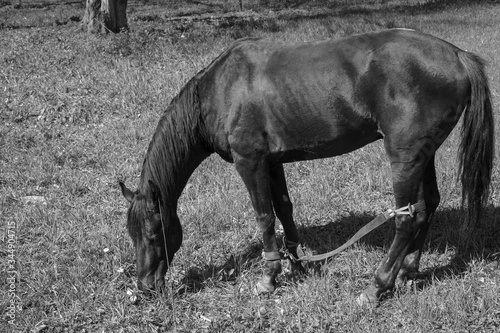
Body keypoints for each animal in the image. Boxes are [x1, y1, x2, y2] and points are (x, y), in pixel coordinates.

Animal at [119, 28, 494, 304]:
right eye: (131, 234)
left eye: (154, 232)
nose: (146, 286)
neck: (221, 90)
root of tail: (458, 55)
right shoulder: (272, 162)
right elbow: (285, 210)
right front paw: (296, 266)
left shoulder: (249, 162)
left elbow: (264, 217)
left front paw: (267, 279)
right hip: (423, 155)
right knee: (427, 206)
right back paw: (408, 272)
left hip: (404, 157)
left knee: (405, 219)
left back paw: (377, 287)